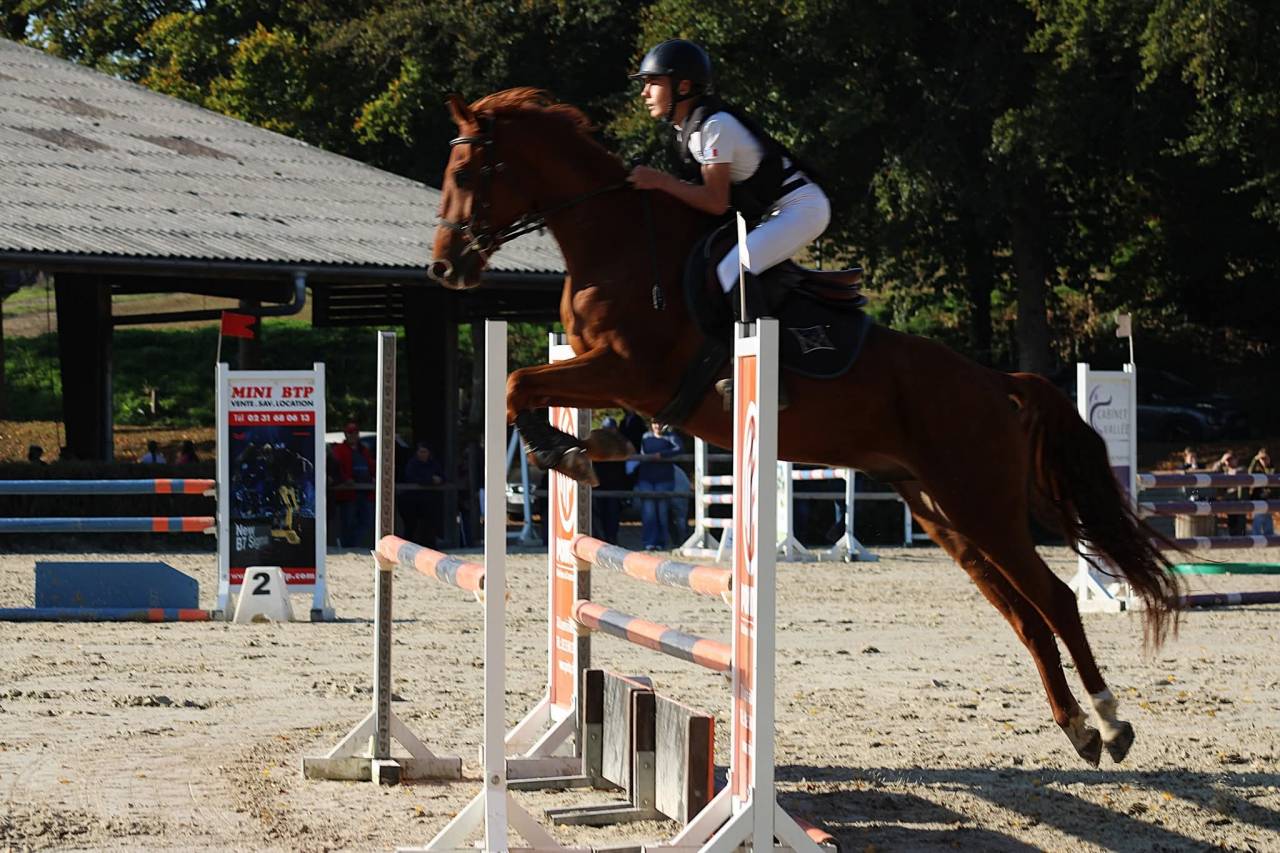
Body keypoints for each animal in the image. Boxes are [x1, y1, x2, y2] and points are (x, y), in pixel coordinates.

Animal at [428, 88, 1183, 768]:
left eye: (467, 173)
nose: (444, 267)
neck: (615, 243)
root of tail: (997, 384)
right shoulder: (605, 370)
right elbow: (524, 389)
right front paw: (583, 447)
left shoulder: (625, 368)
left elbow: (517, 383)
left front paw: (565, 449)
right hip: (944, 515)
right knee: (1025, 615)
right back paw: (1078, 728)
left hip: (983, 506)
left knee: (1054, 598)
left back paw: (1111, 722)